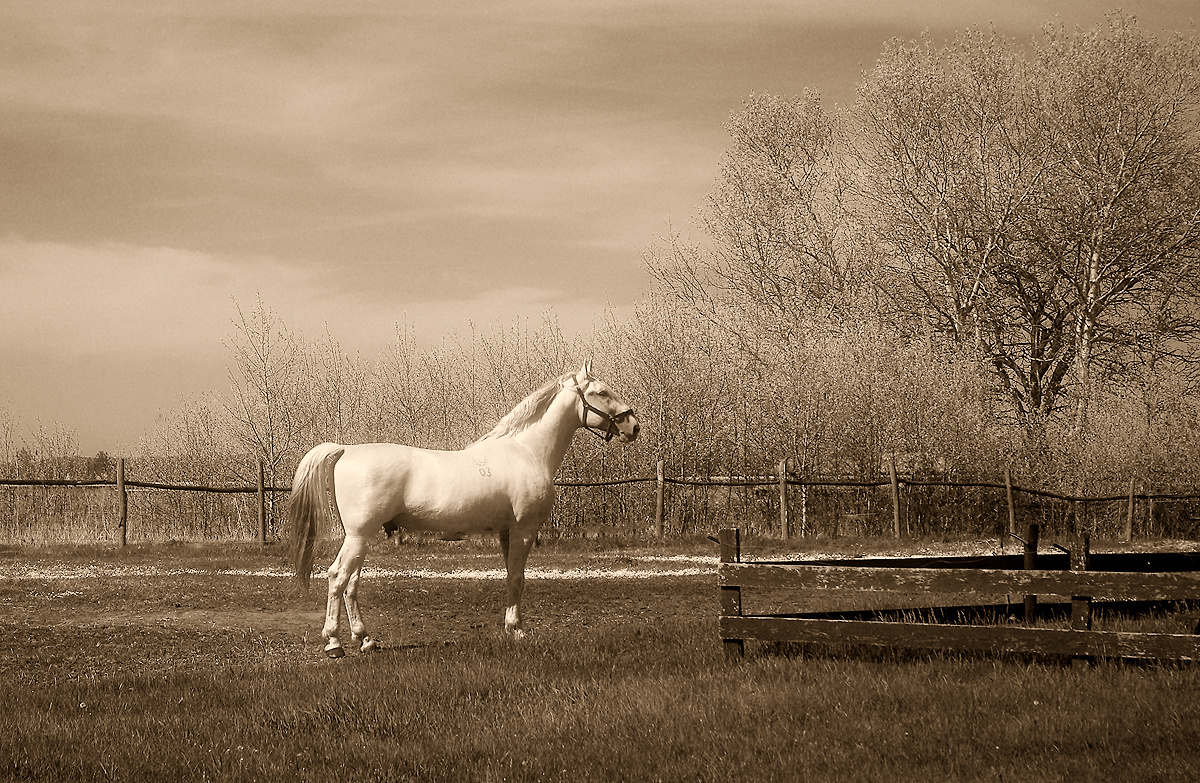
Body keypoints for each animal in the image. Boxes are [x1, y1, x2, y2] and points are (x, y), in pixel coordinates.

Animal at [286, 365, 643, 658]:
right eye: (601, 392)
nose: (634, 426)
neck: (527, 451)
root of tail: (346, 450)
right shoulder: (524, 530)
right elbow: (517, 578)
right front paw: (518, 631)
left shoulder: (506, 533)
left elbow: (511, 577)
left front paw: (511, 627)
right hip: (359, 536)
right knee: (338, 577)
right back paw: (334, 643)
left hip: (360, 537)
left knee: (352, 583)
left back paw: (365, 640)